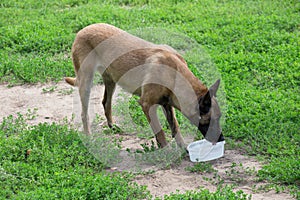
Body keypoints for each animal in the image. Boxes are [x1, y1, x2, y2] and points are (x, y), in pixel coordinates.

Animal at [66, 23, 225, 148]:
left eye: (219, 118)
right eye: (211, 120)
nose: (221, 139)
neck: (174, 73)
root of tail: (82, 30)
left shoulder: (167, 104)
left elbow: (175, 127)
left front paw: (183, 148)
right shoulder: (147, 104)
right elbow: (160, 132)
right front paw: (166, 151)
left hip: (111, 81)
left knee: (106, 102)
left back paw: (112, 126)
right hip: (86, 82)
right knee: (84, 114)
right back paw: (88, 137)